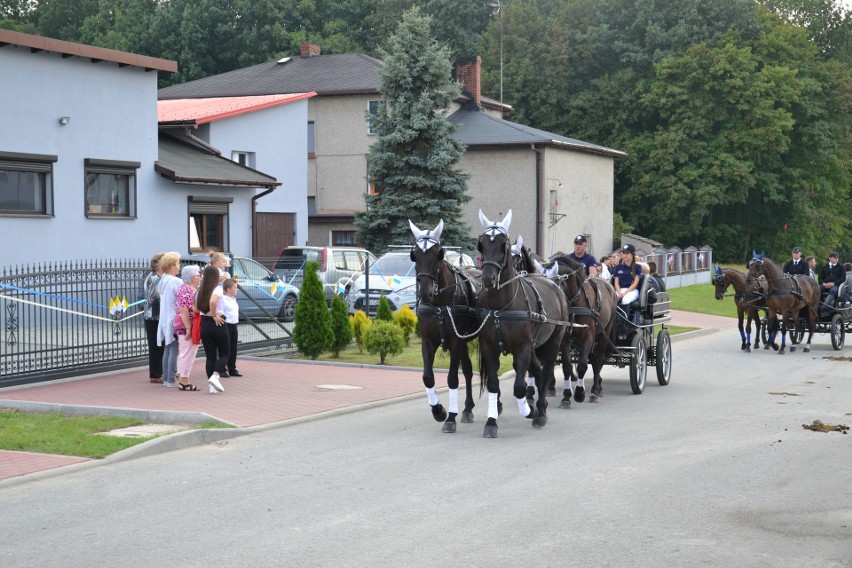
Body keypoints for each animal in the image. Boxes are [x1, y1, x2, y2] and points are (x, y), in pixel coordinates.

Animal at [408, 220, 482, 432]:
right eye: (415, 254)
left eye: (438, 253)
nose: (425, 292)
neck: (439, 305)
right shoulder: (428, 341)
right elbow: (428, 377)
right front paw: (438, 411)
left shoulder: (455, 341)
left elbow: (452, 378)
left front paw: (450, 418)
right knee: (468, 369)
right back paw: (467, 409)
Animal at [476, 211, 568, 438]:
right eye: (481, 244)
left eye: (503, 244)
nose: (488, 278)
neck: (501, 306)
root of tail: (555, 286)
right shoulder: (488, 346)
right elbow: (493, 384)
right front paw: (491, 422)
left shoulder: (524, 347)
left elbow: (519, 386)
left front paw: (530, 410)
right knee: (538, 370)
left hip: (553, 341)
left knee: (546, 370)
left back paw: (540, 411)